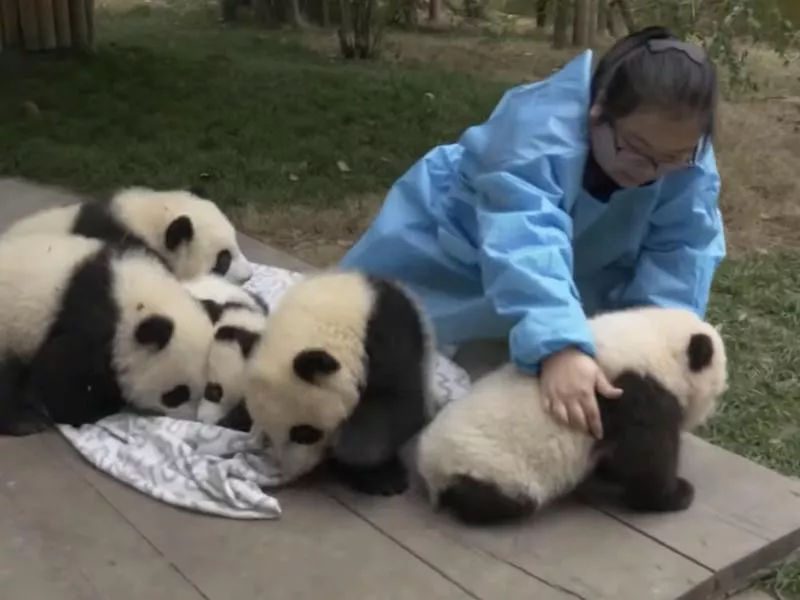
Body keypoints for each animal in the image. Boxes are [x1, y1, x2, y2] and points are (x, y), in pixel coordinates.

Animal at [0, 233, 216, 436]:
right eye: (178, 394)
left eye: (207, 389)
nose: (194, 419)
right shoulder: (91, 324)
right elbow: (59, 375)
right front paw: (101, 407)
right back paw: (25, 421)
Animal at [415, 306, 728, 526]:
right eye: (717, 391)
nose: (708, 415)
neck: (655, 342)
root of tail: (431, 474)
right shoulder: (631, 392)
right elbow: (647, 458)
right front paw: (678, 494)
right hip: (490, 465)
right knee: (501, 501)